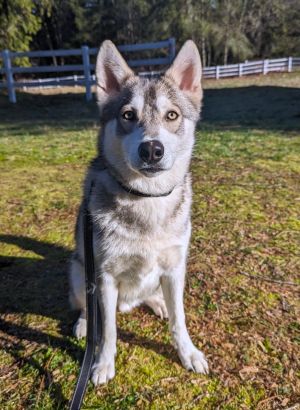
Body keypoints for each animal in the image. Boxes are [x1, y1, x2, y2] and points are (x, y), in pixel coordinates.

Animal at [69, 40, 209, 386]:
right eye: (128, 115)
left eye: (171, 115)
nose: (152, 149)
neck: (147, 199)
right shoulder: (104, 278)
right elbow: (108, 331)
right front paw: (102, 364)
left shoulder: (175, 268)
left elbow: (180, 320)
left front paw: (188, 353)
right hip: (79, 271)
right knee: (87, 309)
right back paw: (83, 324)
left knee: (152, 296)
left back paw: (157, 303)